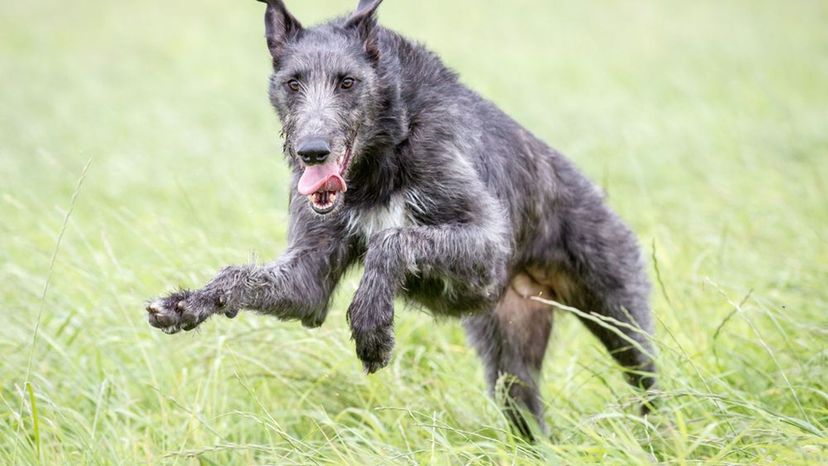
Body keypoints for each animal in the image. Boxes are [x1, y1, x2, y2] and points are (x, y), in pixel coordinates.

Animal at [146, 0, 656, 436]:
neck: (382, 156)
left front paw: (372, 326)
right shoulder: (308, 276)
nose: (312, 151)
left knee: (647, 380)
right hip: (509, 358)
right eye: (293, 82)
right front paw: (187, 303)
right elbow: (249, 278)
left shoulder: (489, 248)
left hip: (618, 310)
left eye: (347, 81)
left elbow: (393, 240)